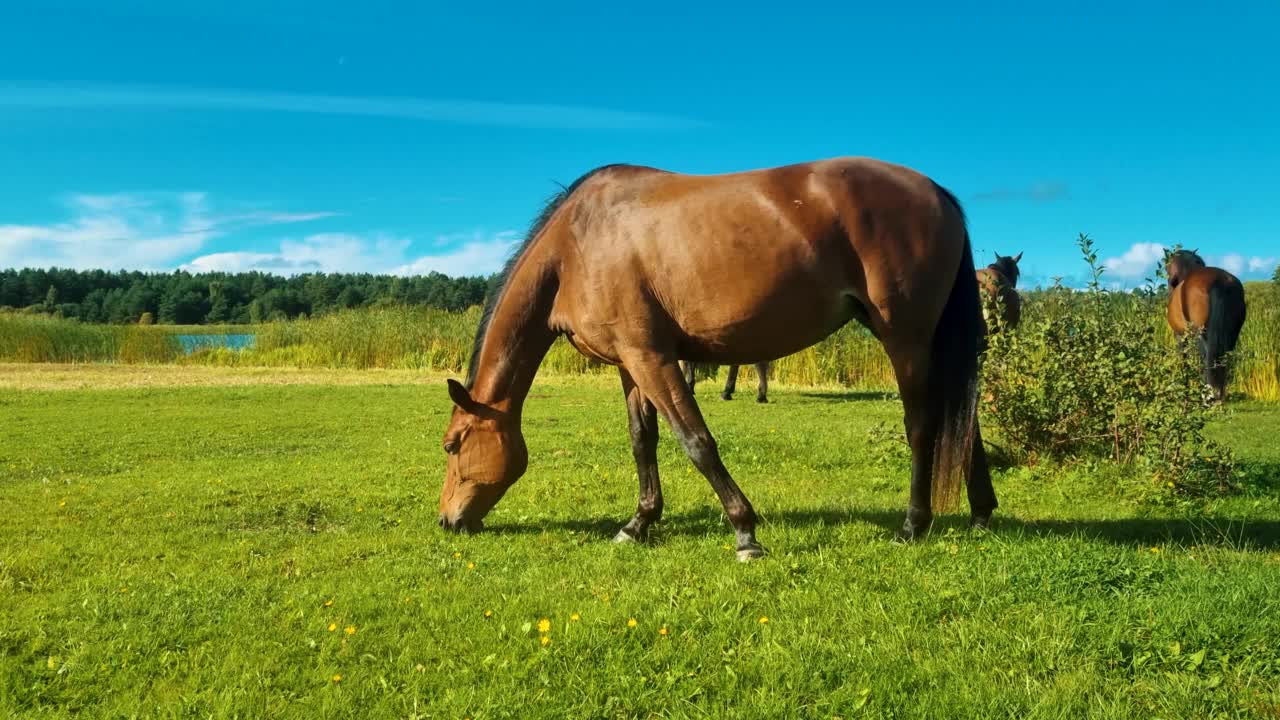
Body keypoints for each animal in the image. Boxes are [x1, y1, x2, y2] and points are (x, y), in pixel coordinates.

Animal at [442, 156, 998, 558]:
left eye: (452, 445)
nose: (448, 521)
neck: (577, 246)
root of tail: (937, 193)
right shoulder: (629, 365)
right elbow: (642, 442)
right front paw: (638, 523)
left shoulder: (652, 359)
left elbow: (697, 442)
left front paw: (745, 532)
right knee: (963, 420)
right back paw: (982, 512)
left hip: (905, 338)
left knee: (923, 425)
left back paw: (913, 523)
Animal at [1167, 249, 1244, 399]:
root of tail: (1220, 281)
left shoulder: (1180, 336)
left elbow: (1184, 359)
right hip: (1232, 334)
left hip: (1200, 333)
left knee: (1206, 357)